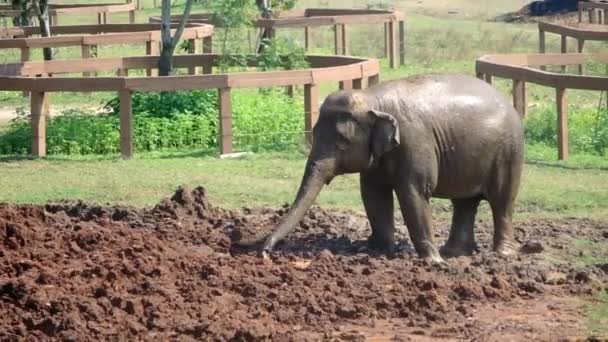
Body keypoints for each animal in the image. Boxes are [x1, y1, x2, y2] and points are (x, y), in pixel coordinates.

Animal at [249, 74, 524, 262]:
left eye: (342, 141)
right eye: (314, 133)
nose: (265, 252)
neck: (372, 98)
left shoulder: (414, 141)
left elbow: (413, 194)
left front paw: (433, 262)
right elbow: (373, 195)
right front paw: (376, 251)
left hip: (509, 153)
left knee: (502, 201)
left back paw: (502, 255)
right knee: (465, 202)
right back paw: (454, 253)